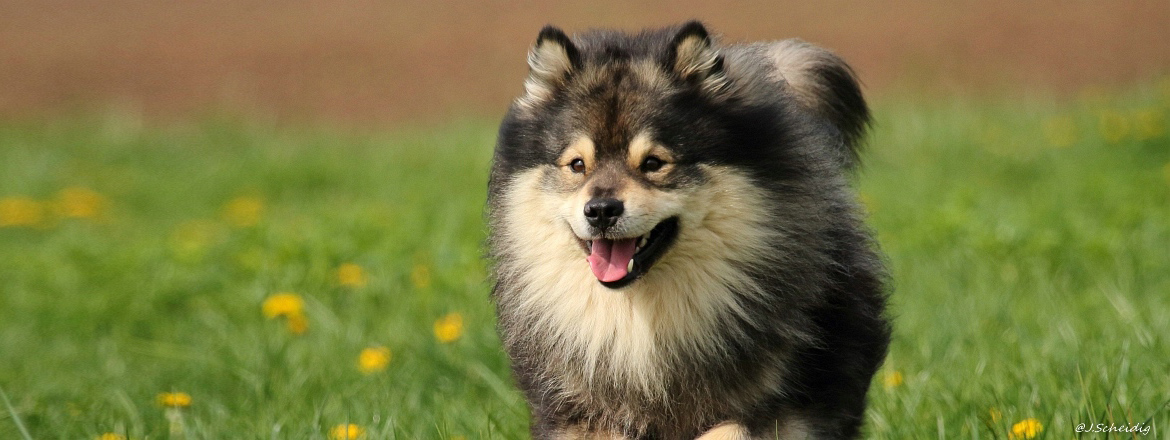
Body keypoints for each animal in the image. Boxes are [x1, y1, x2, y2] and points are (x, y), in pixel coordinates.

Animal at [484, 21, 884, 440]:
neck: (640, 321)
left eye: (653, 163)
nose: (601, 210)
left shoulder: (788, 407)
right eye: (577, 164)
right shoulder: (578, 414)